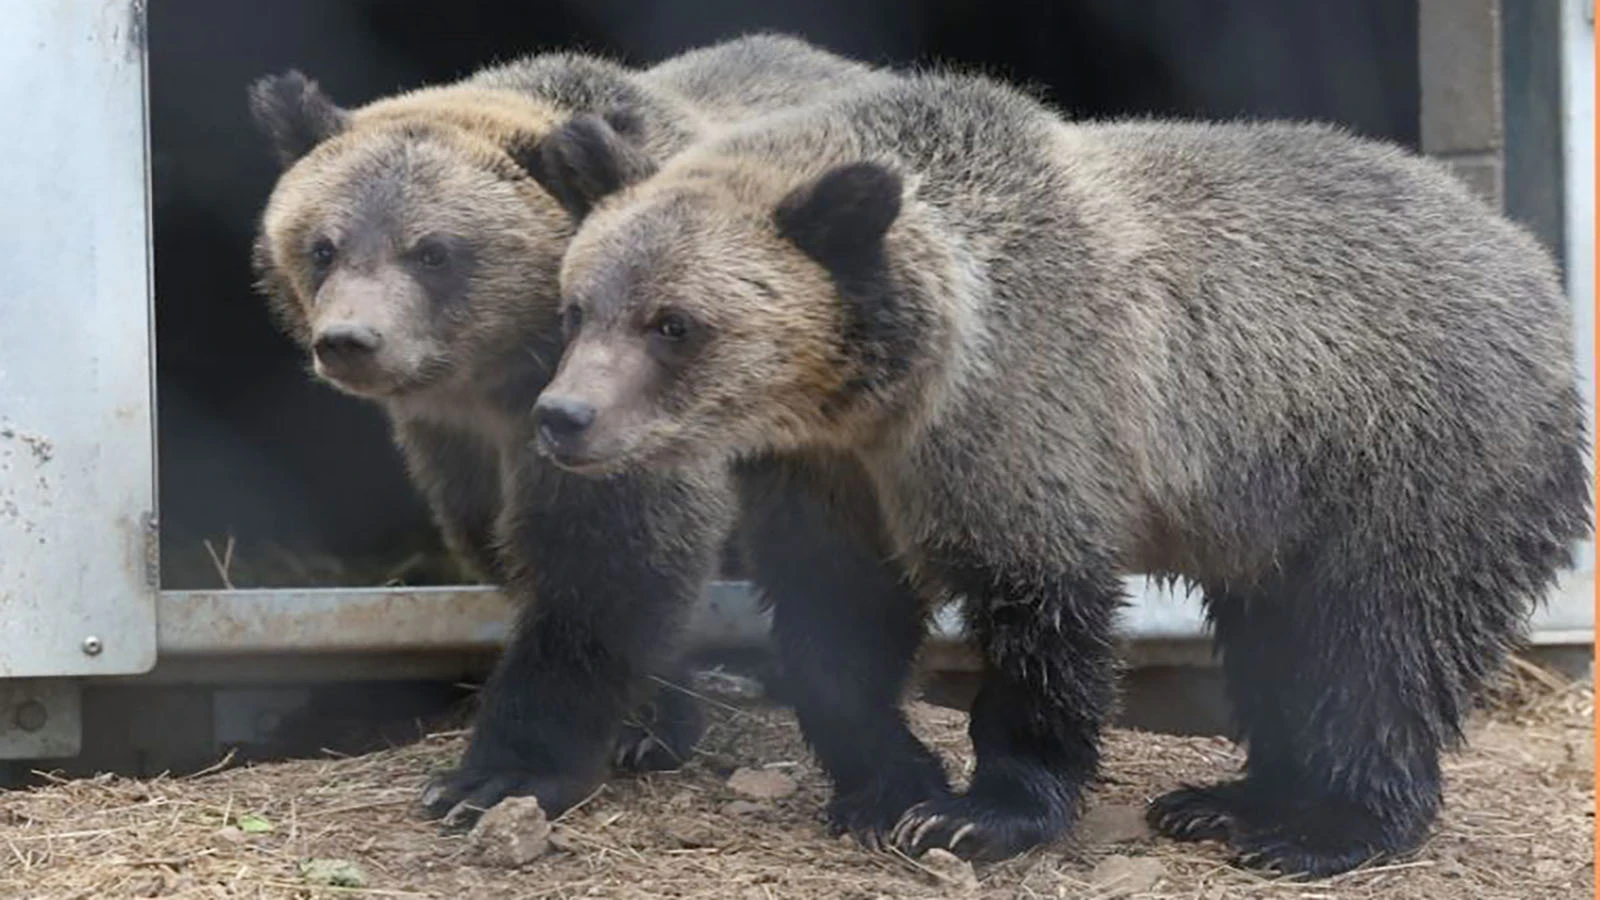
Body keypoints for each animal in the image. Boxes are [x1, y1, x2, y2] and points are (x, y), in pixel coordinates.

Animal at [247, 34, 951, 839]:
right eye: (323, 246)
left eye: (432, 251)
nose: (350, 341)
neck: (501, 375)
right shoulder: (456, 443)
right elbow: (504, 541)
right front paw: (649, 719)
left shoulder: (625, 409)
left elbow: (606, 563)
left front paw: (500, 773)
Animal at [523, 71, 1592, 876]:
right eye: (578, 306)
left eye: (675, 323)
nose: (563, 417)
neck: (887, 390)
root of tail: (1529, 258)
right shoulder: (825, 475)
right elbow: (838, 621)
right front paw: (888, 784)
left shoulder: (1028, 423)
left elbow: (1042, 620)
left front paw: (981, 810)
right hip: (1283, 510)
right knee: (1278, 639)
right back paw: (1228, 797)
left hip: (1406, 457)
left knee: (1375, 644)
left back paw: (1318, 826)